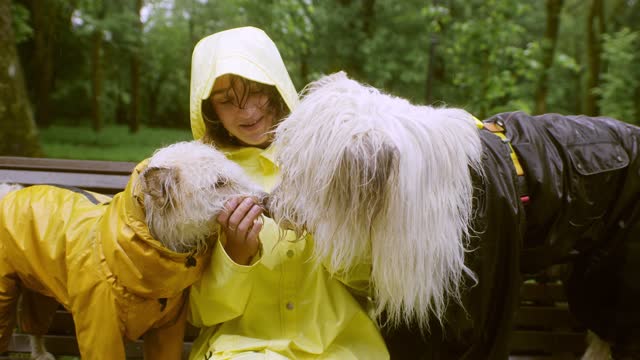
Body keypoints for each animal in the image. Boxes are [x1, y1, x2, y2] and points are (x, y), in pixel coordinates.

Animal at [0, 141, 262, 360]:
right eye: (219, 183)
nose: (264, 196)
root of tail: (11, 193)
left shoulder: (168, 328)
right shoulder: (100, 329)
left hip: (40, 287)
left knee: (35, 324)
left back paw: (40, 354)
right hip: (6, 290)